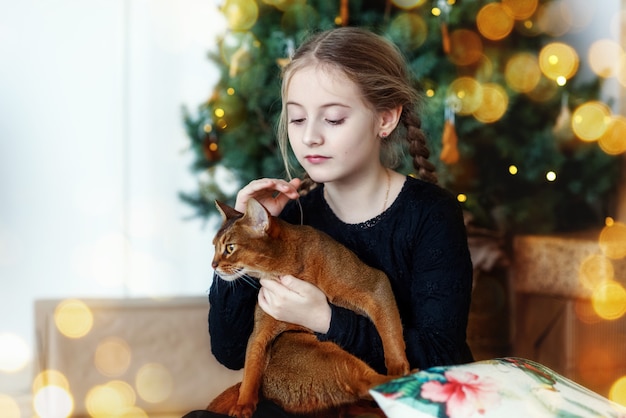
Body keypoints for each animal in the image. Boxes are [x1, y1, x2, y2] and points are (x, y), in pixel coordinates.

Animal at [207, 198, 408, 418]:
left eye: (230, 248)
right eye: (214, 247)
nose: (213, 265)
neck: (285, 269)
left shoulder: (376, 285)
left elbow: (390, 331)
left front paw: (399, 368)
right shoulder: (260, 332)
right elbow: (250, 369)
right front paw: (242, 406)